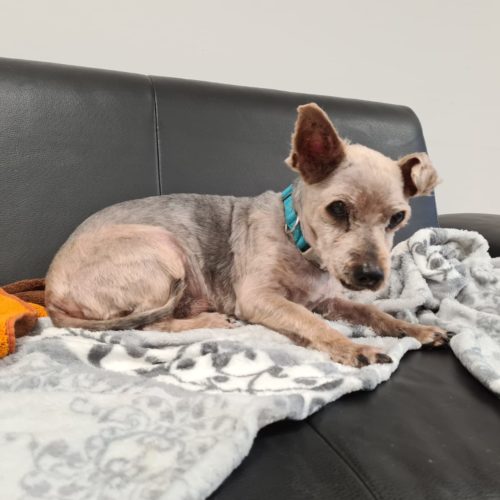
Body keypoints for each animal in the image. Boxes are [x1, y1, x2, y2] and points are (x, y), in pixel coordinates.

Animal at [45, 103, 449, 367]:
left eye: (397, 218)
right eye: (337, 209)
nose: (371, 276)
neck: (297, 242)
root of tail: (50, 291)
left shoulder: (328, 300)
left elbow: (372, 312)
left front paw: (413, 329)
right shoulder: (261, 298)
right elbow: (311, 323)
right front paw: (352, 348)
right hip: (164, 247)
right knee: (151, 322)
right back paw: (209, 320)